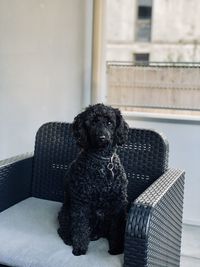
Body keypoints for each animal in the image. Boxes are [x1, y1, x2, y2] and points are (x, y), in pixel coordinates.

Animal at [57, 103, 129, 256]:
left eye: (110, 122)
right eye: (93, 122)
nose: (102, 137)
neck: (101, 161)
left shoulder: (118, 204)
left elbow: (117, 229)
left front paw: (116, 248)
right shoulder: (81, 202)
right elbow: (80, 227)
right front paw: (79, 248)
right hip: (65, 212)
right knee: (63, 229)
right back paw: (69, 239)